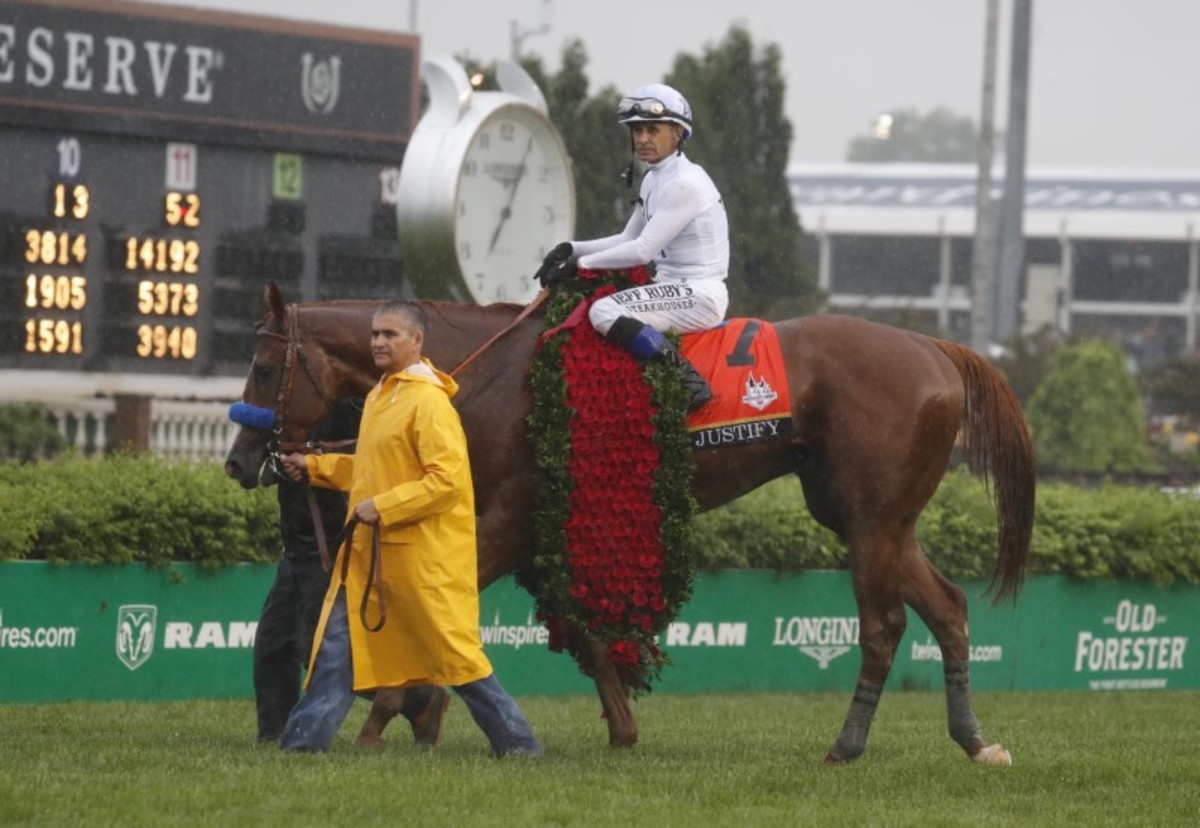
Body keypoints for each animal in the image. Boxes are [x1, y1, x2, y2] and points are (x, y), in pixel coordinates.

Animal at [224, 281, 1034, 765]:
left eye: (261, 369)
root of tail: (935, 347)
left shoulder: (508, 517)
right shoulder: (538, 529)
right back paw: (973, 740)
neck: (480, 372)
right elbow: (583, 629)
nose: (239, 460)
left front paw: (394, 709)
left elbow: (442, 610)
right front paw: (620, 727)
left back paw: (846, 744)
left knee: (885, 625)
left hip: (870, 520)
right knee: (948, 609)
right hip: (872, 517)